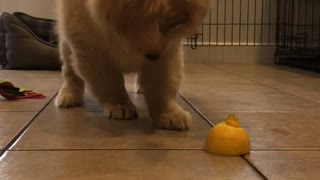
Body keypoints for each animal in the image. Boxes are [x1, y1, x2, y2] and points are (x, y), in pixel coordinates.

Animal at [55, 0, 208, 130]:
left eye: (174, 26)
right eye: (157, 24)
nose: (154, 56)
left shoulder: (168, 52)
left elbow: (163, 85)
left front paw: (170, 113)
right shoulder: (90, 47)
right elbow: (110, 83)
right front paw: (120, 105)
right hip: (66, 44)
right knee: (70, 72)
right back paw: (69, 94)